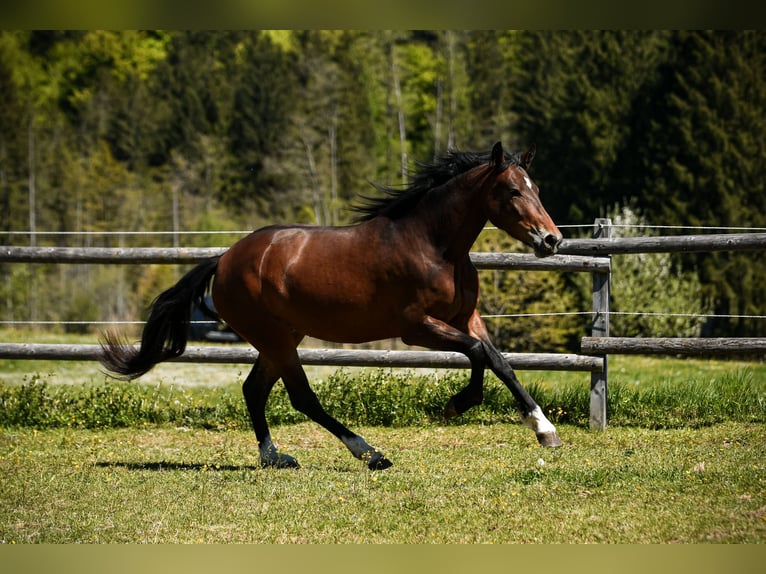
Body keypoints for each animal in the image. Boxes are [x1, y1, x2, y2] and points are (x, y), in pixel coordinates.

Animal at [99, 141, 564, 470]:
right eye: (511, 190)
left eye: (538, 189)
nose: (551, 240)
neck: (435, 246)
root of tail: (225, 259)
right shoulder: (417, 327)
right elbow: (478, 354)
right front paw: (457, 404)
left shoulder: (465, 317)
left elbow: (499, 361)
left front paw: (544, 428)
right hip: (275, 339)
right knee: (302, 398)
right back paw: (370, 454)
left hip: (282, 338)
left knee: (254, 390)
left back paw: (274, 457)